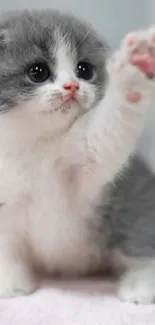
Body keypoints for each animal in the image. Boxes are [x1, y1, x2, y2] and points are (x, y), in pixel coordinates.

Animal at [0, 10, 155, 304]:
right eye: (38, 71)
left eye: (84, 69)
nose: (71, 86)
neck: (33, 144)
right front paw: (10, 284)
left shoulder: (84, 164)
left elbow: (108, 132)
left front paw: (135, 66)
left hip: (132, 207)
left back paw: (141, 285)